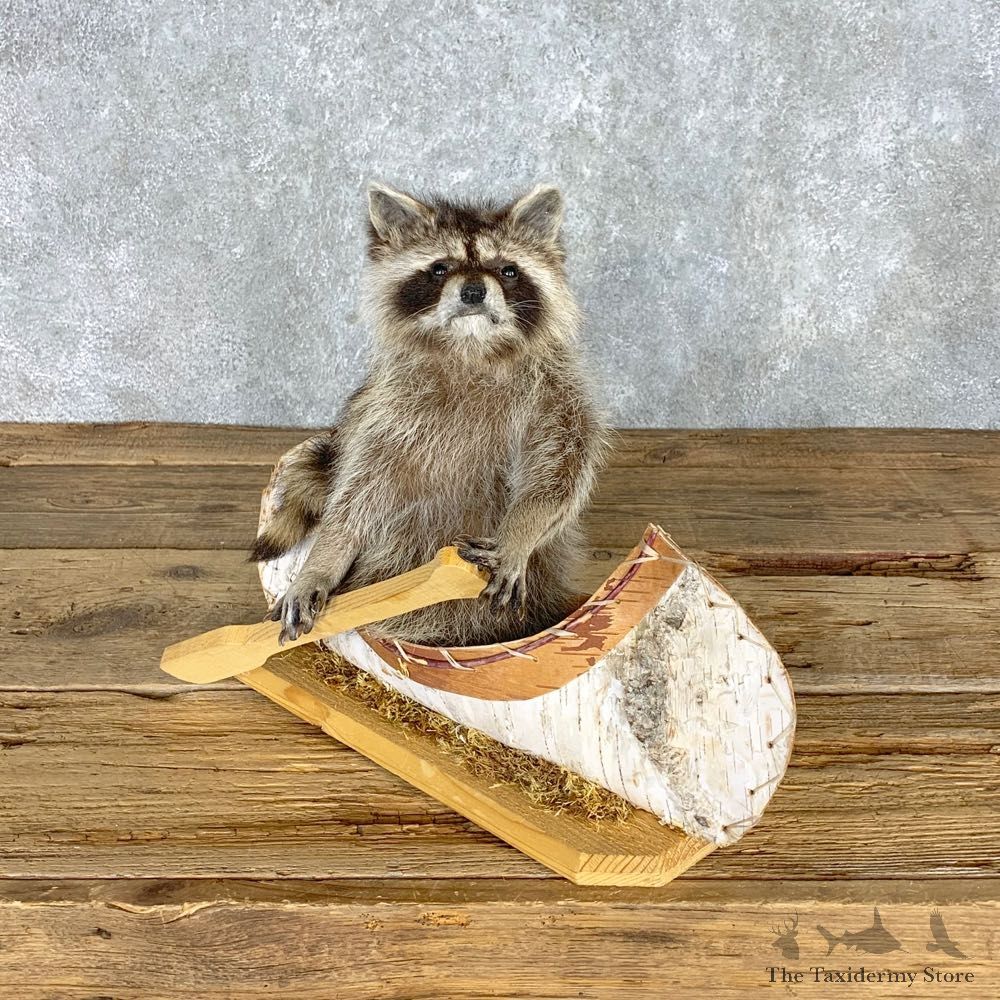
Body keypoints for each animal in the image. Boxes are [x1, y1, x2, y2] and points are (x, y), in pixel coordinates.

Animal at [252, 181, 611, 648]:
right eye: (440, 268)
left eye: (508, 270)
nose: (474, 291)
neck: (471, 348)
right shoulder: (387, 411)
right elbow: (355, 497)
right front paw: (322, 561)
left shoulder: (557, 392)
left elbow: (559, 476)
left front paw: (520, 531)